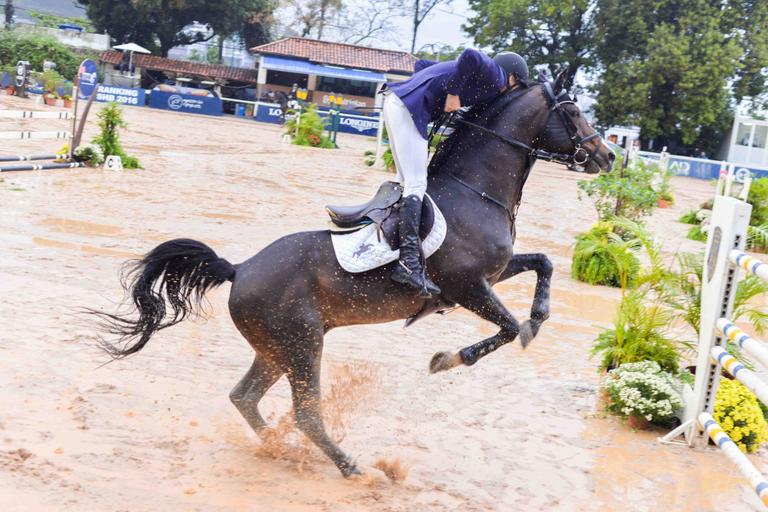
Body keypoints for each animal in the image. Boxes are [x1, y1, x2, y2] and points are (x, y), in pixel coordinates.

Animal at [91, 73, 616, 480]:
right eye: (573, 112)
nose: (609, 157)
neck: (476, 190)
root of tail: (239, 270)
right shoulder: (468, 286)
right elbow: (506, 328)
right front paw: (447, 359)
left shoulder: (496, 272)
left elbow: (544, 264)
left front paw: (538, 317)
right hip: (302, 343)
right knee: (306, 412)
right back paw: (350, 467)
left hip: (277, 347)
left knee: (246, 397)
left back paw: (281, 449)